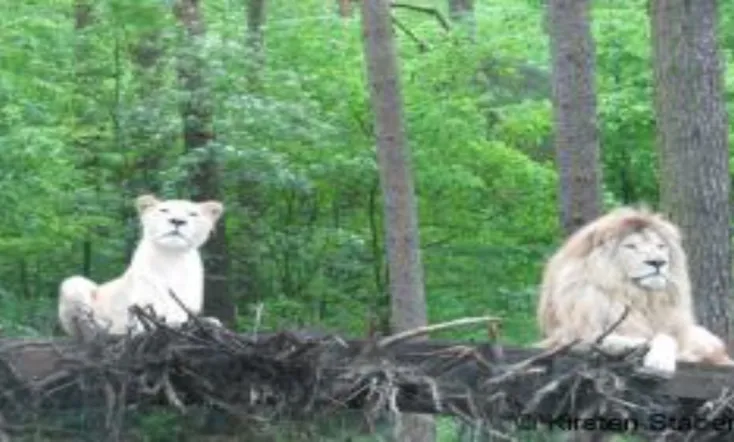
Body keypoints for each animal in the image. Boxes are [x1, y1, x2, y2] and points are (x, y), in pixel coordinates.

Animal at [58, 194, 224, 338]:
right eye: (164, 210)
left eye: (192, 214)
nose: (177, 221)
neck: (171, 256)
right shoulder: (143, 306)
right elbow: (147, 321)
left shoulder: (186, 306)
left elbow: (187, 318)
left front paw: (209, 322)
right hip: (74, 283)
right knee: (83, 327)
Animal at [536, 206, 734, 377]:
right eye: (631, 246)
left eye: (660, 246)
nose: (658, 262)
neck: (640, 297)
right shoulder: (569, 338)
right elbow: (627, 339)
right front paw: (648, 354)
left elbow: (666, 337)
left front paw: (661, 360)